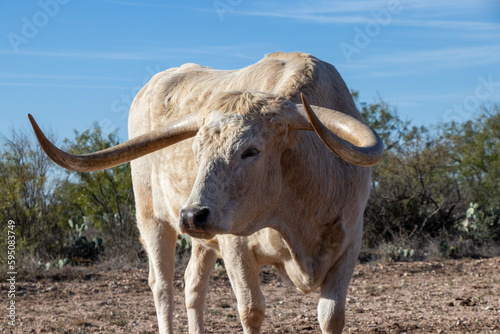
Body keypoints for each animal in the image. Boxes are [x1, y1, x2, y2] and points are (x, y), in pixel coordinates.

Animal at [29, 52, 384, 334]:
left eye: (251, 151)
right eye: (196, 150)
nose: (191, 215)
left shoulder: (349, 244)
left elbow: (331, 315)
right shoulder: (236, 247)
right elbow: (251, 311)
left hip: (203, 236)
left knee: (193, 286)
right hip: (152, 218)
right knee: (163, 286)